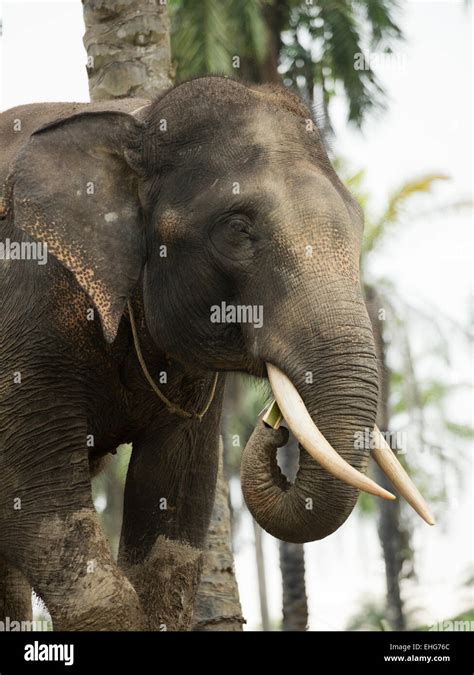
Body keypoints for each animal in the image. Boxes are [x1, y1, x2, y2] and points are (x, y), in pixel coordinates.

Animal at [0, 76, 432, 632]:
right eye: (238, 228)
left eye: (358, 225)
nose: (272, 426)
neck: (137, 121)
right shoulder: (25, 312)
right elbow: (34, 505)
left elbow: (174, 520)